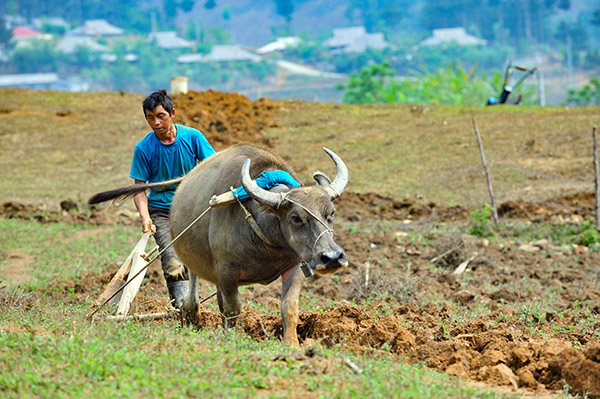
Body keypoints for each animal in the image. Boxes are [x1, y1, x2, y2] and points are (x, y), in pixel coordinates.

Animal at [91, 145, 350, 346]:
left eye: (331, 213)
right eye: (296, 217)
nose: (332, 257)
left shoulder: (295, 267)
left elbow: (289, 307)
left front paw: (292, 345)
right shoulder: (227, 270)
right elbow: (233, 307)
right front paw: (232, 338)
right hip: (190, 259)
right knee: (191, 294)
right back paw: (191, 318)